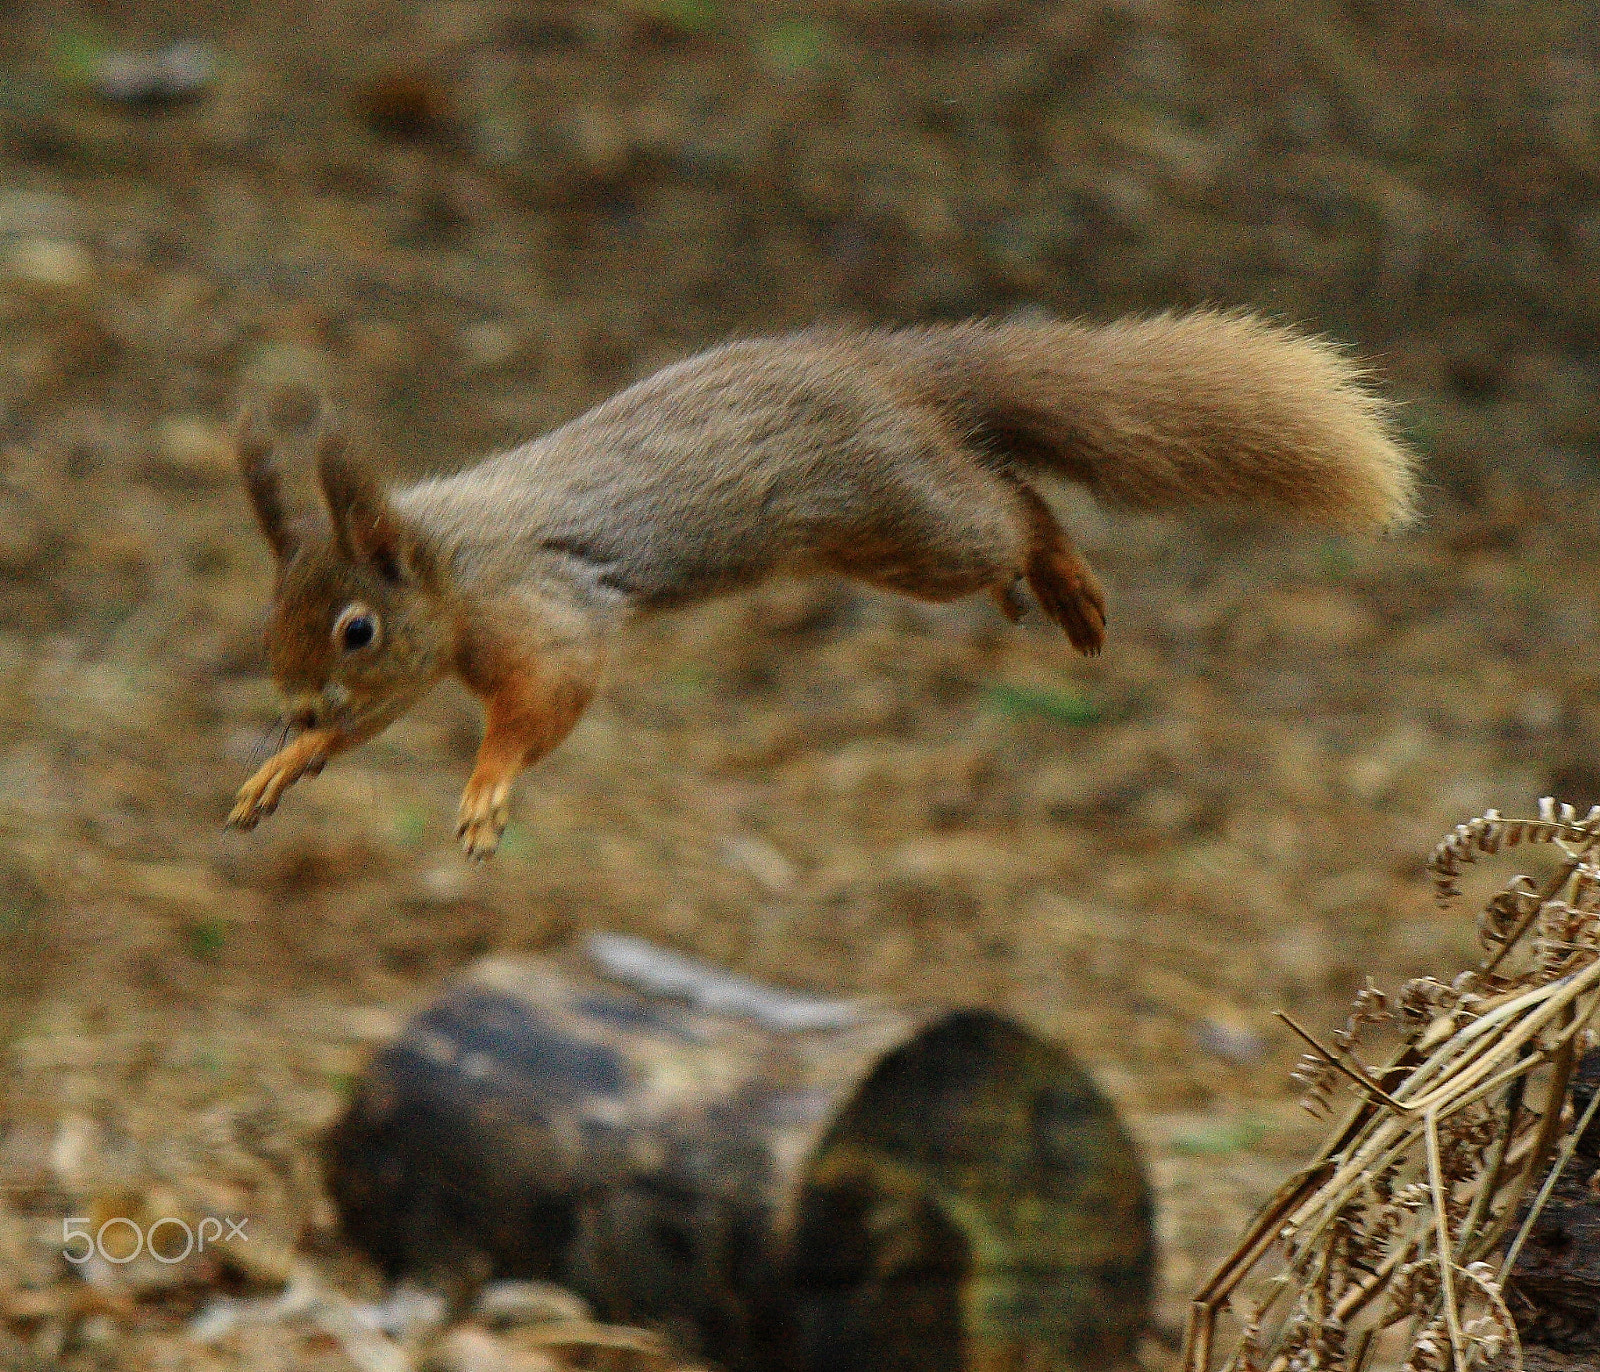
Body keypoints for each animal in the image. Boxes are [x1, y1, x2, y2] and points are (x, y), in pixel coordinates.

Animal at [225, 309, 1418, 858]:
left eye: (354, 628)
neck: (449, 563)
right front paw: (289, 762)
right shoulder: (426, 670)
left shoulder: (542, 610)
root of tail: (890, 368)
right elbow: (369, 731)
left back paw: (1061, 578)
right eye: (270, 615)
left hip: (914, 523)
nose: (291, 703)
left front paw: (485, 789)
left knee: (1014, 505)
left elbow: (540, 705)